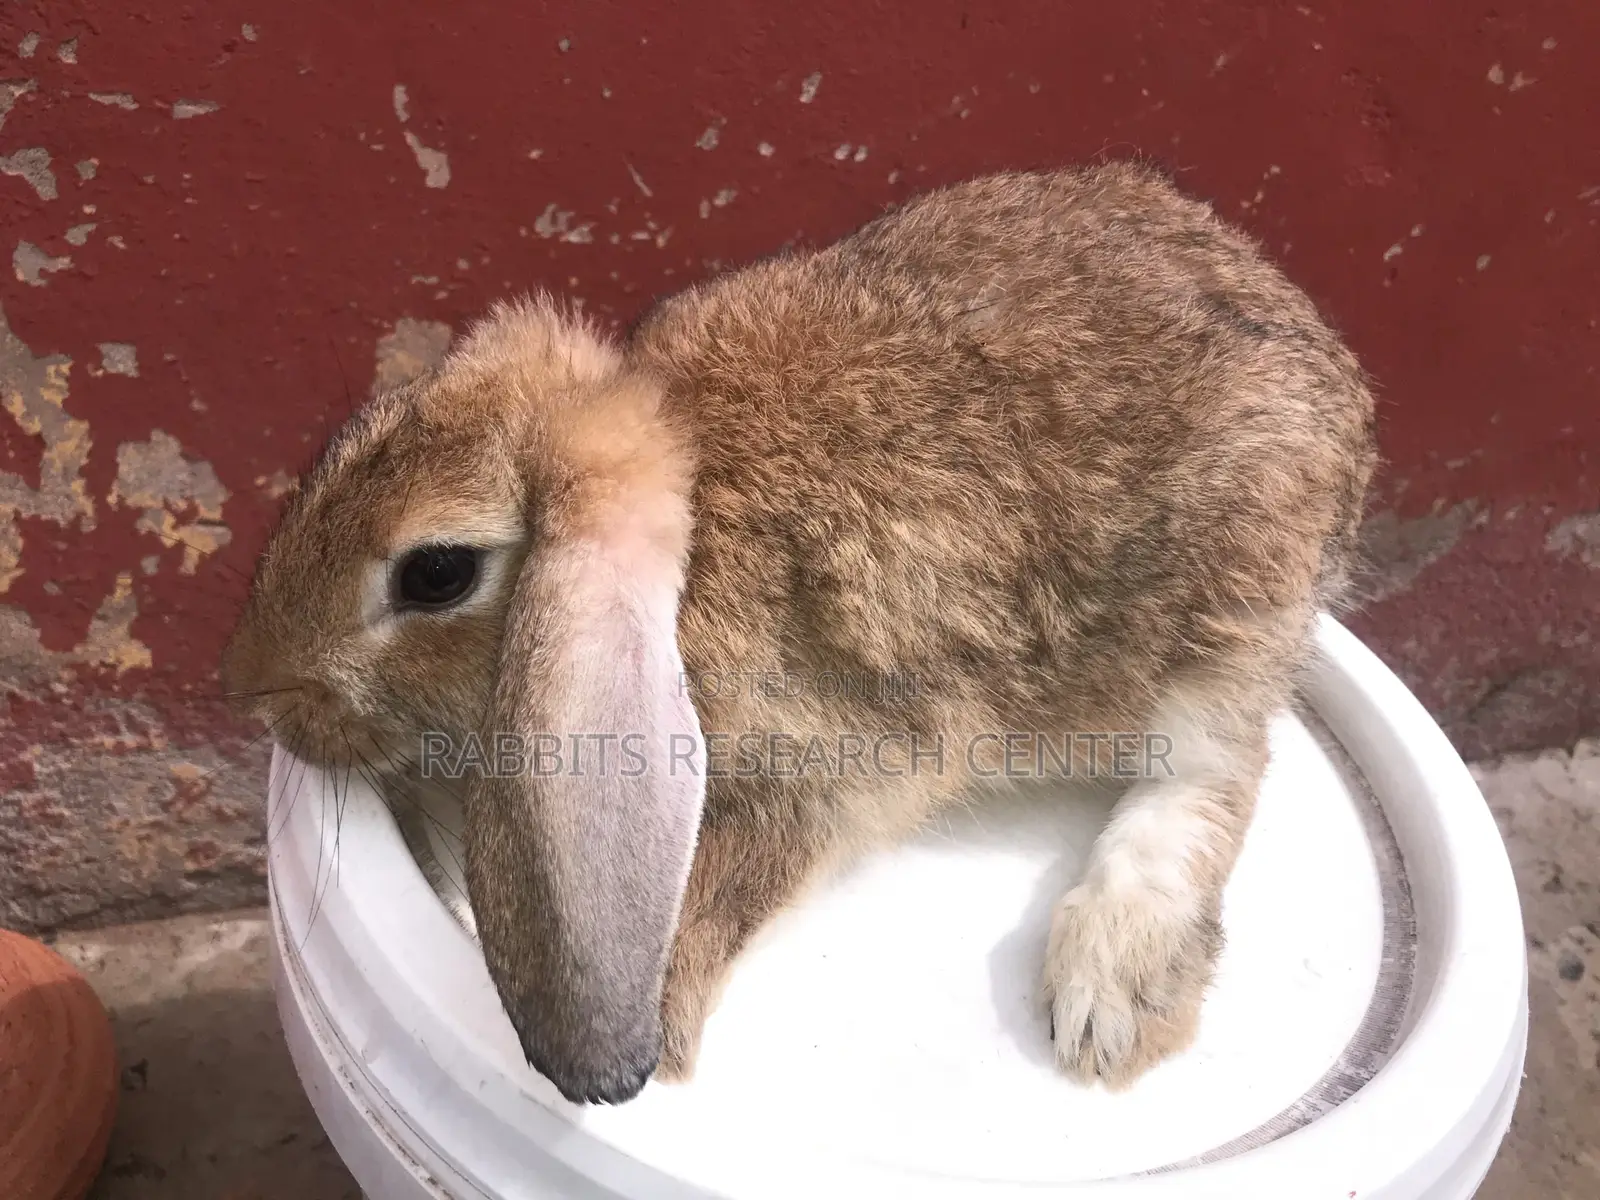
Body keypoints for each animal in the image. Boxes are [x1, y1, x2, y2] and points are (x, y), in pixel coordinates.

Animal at [223, 162, 1377, 1108]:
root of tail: (1316, 342)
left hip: (1226, 612)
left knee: (1215, 773)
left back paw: (1108, 995)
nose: (264, 694)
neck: (697, 527)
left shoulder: (824, 758)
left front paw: (662, 1030)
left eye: (436, 574)